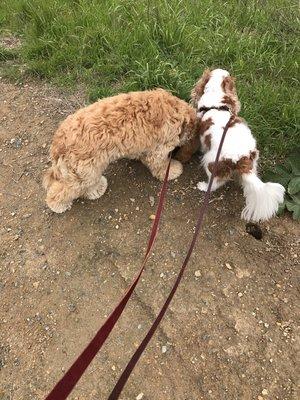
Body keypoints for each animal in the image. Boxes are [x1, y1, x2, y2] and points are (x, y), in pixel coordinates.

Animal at [42, 88, 197, 212]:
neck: (175, 111)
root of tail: (58, 145)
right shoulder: (158, 151)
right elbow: (161, 166)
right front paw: (173, 170)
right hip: (85, 171)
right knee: (60, 192)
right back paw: (59, 206)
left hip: (86, 173)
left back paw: (96, 190)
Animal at [178, 67, 284, 220]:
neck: (216, 102)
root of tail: (242, 158)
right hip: (254, 159)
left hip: (211, 161)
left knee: (216, 183)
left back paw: (203, 186)